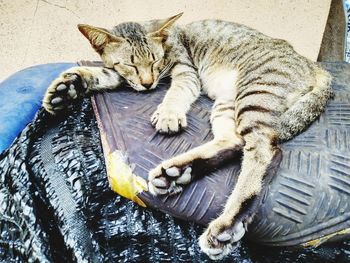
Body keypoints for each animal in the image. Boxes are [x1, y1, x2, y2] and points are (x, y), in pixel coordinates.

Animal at [42, 13, 332, 260]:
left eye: (155, 60)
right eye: (130, 64)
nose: (148, 83)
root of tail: (312, 64)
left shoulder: (186, 70)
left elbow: (176, 91)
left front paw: (169, 113)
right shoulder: (121, 74)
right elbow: (102, 73)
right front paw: (67, 87)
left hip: (254, 94)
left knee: (265, 150)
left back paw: (228, 224)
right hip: (229, 103)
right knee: (235, 141)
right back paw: (179, 172)